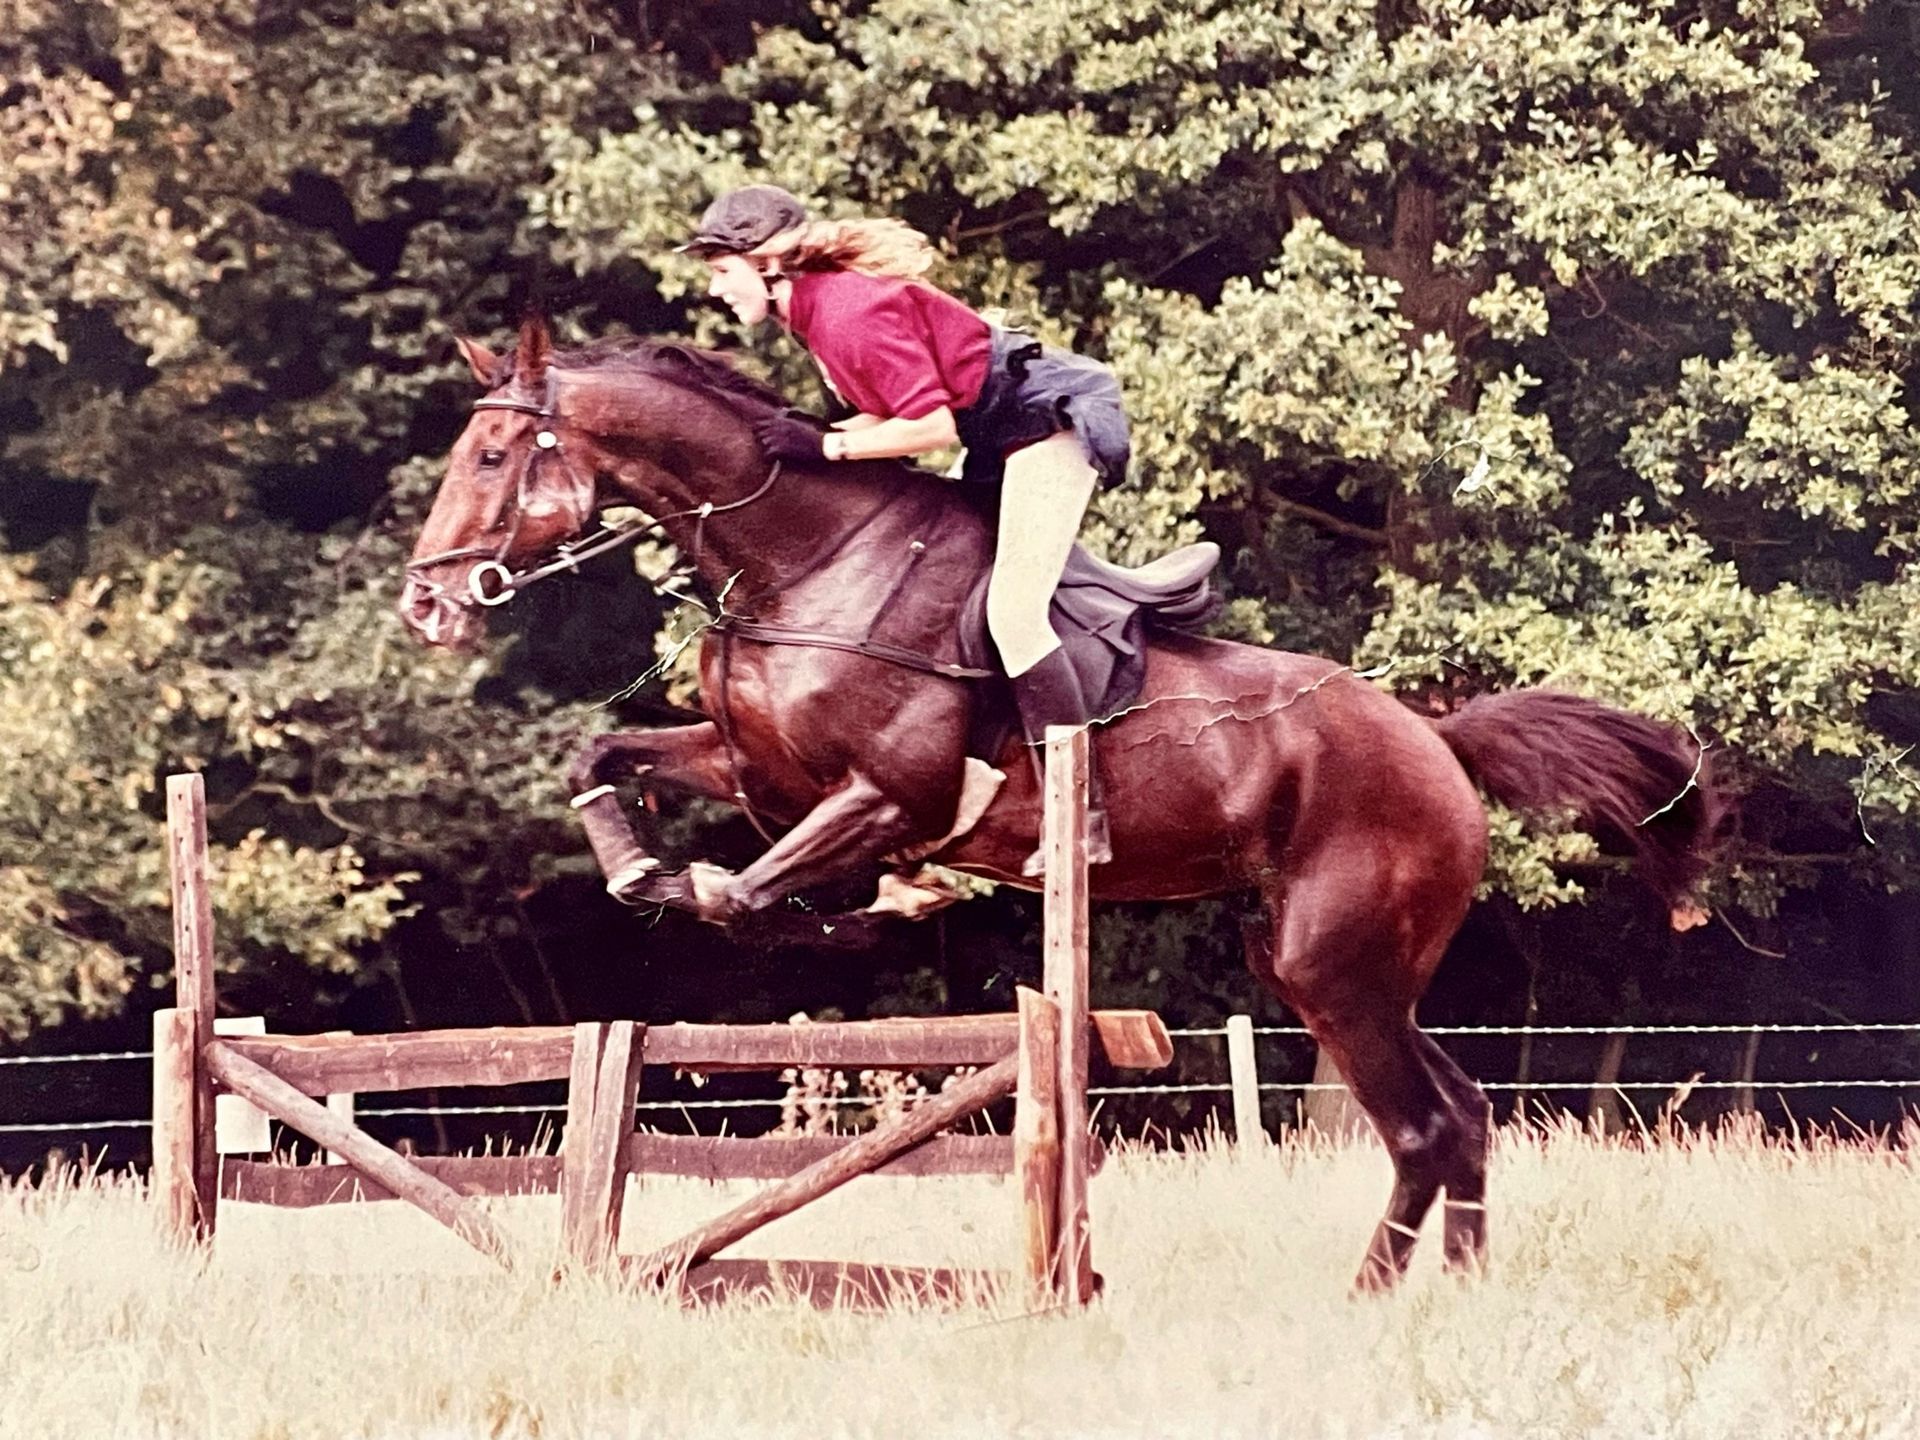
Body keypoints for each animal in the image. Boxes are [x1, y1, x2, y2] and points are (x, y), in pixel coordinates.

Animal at [401, 318, 1728, 1297]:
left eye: (489, 460)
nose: (424, 605)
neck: (807, 560)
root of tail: (1436, 740)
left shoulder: (881, 793)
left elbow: (746, 893)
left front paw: (826, 903)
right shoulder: (751, 768)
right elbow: (605, 753)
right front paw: (636, 865)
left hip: (1338, 960)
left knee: (1420, 1130)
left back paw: (1371, 1299)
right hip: (1341, 968)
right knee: (1462, 1114)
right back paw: (1458, 1289)